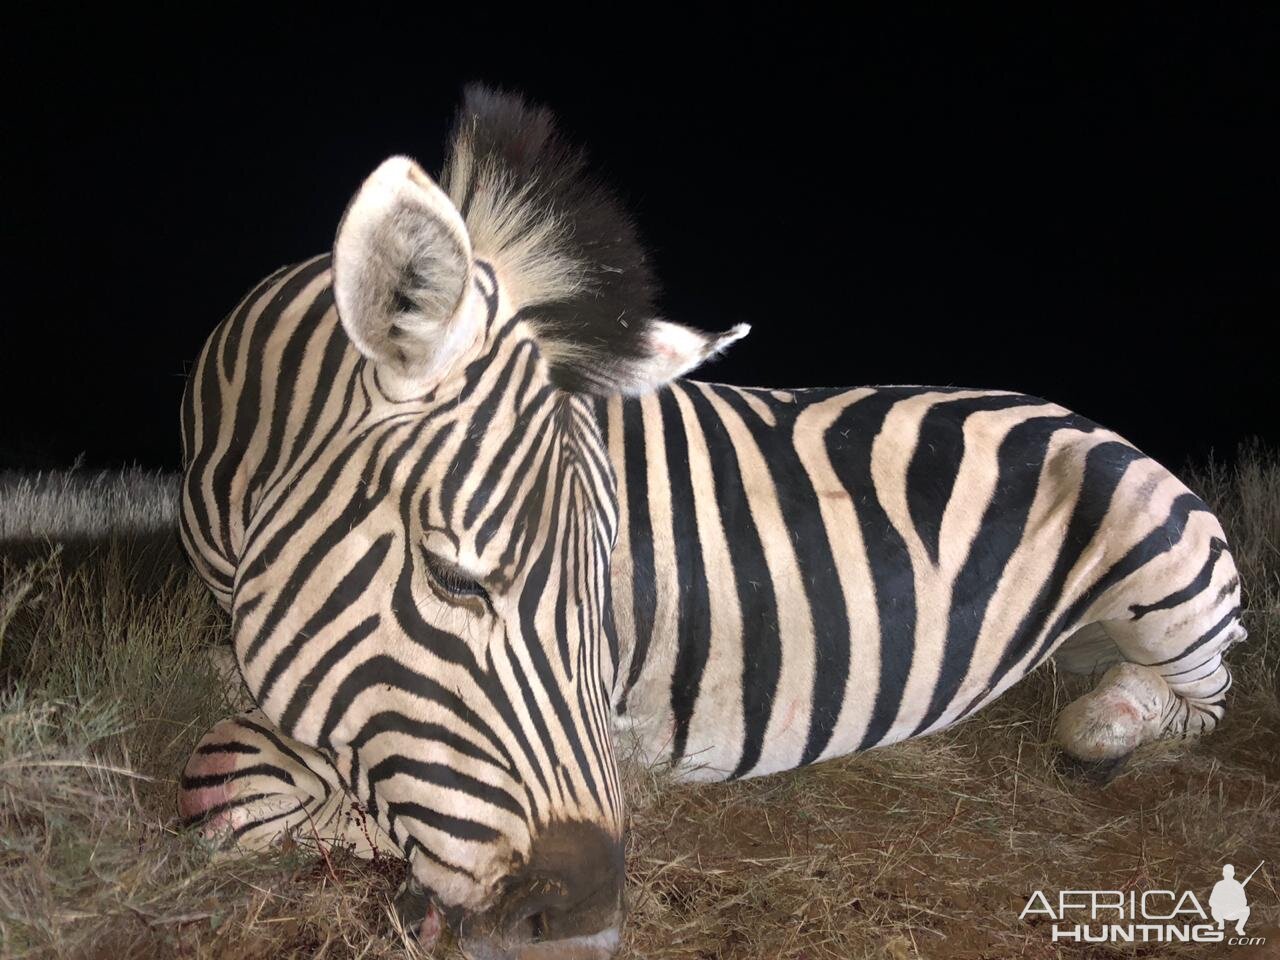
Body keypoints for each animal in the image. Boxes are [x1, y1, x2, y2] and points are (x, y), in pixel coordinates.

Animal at [175, 86, 1244, 957]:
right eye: (454, 578)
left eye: (609, 584)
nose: (581, 917)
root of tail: (1079, 416)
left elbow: (254, 790)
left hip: (1162, 570)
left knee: (1200, 703)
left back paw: (1101, 722)